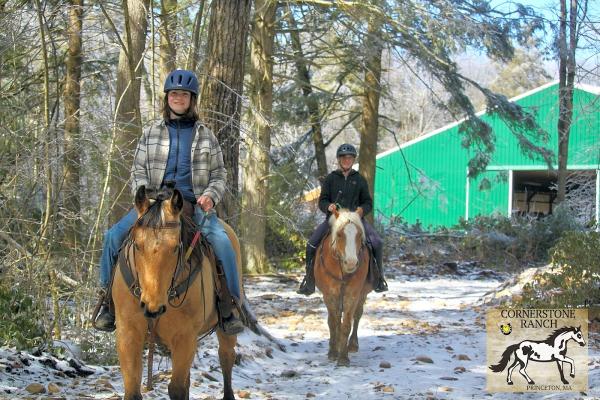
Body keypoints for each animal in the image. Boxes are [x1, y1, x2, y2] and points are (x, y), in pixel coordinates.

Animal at [111, 186, 243, 398]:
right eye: (137, 245)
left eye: (175, 248)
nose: (152, 307)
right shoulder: (128, 333)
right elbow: (132, 390)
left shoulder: (185, 336)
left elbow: (177, 389)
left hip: (227, 326)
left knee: (226, 357)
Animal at [314, 208, 370, 368]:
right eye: (339, 234)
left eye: (359, 234)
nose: (351, 263)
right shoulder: (329, 294)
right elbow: (333, 323)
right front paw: (333, 352)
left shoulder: (352, 294)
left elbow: (346, 325)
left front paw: (343, 357)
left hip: (362, 294)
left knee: (357, 315)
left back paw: (352, 344)